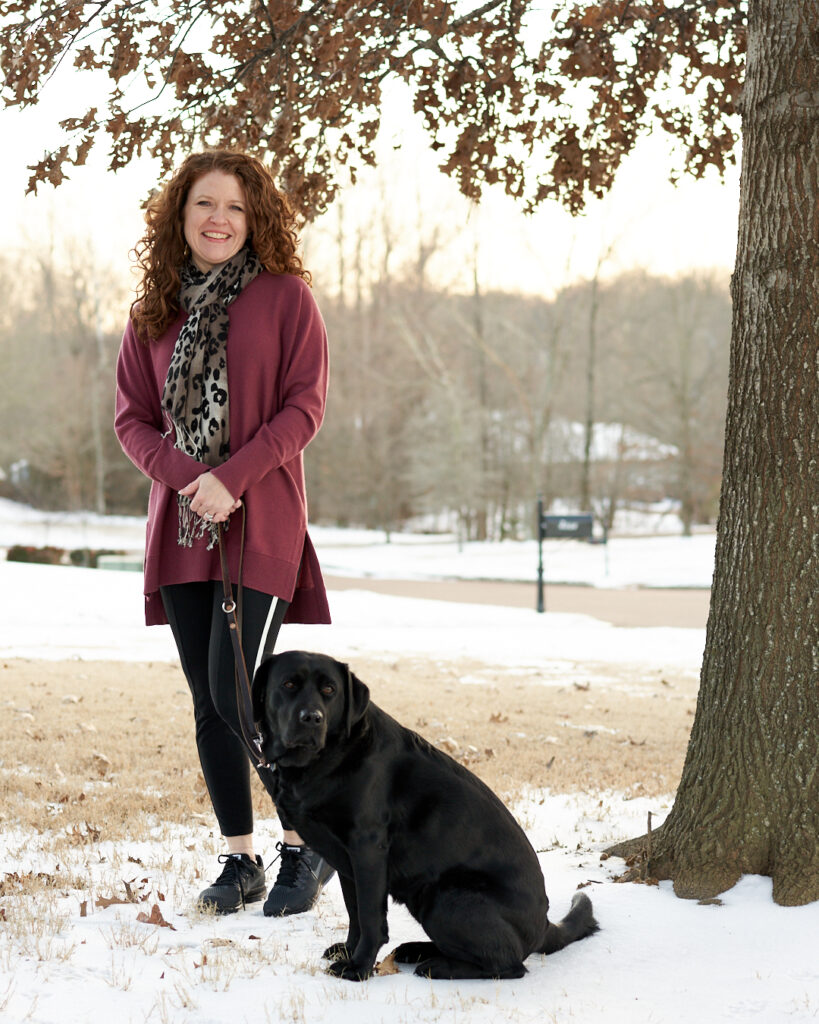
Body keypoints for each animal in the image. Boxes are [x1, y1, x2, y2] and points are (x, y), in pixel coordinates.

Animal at [252, 651, 597, 978]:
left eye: (329, 690)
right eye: (289, 684)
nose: (312, 718)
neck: (325, 759)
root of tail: (545, 925)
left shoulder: (368, 850)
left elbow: (370, 917)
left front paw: (358, 968)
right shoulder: (345, 860)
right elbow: (355, 913)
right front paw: (349, 952)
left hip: (445, 897)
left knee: (510, 965)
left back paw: (437, 967)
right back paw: (417, 950)